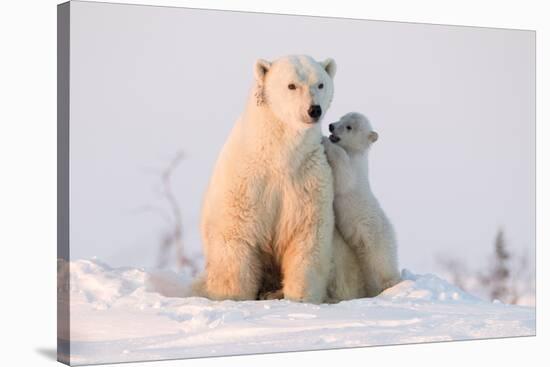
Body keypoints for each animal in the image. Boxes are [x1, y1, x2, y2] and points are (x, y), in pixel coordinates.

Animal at [198, 54, 336, 302]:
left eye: (320, 84)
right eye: (291, 85)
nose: (314, 110)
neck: (277, 155)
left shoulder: (307, 179)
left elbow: (307, 237)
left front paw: (300, 298)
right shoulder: (246, 182)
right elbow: (235, 238)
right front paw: (232, 297)